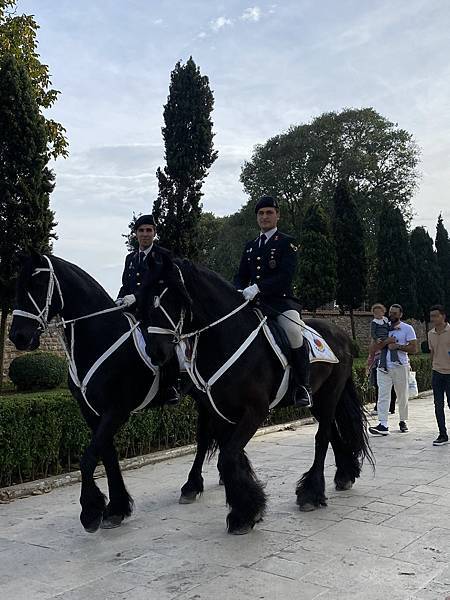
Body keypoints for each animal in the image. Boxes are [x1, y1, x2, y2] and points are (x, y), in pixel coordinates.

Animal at [8, 252, 163, 528]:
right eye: (16, 286)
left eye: (38, 284)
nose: (19, 336)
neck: (100, 334)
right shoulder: (92, 412)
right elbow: (107, 455)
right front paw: (116, 509)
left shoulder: (117, 410)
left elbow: (89, 457)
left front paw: (91, 510)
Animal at [140, 254, 372, 536]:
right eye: (145, 299)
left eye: (173, 297)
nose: (156, 352)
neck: (225, 337)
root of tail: (341, 335)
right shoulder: (219, 411)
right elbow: (229, 455)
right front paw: (248, 506)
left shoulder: (255, 410)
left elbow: (228, 457)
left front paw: (243, 513)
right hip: (316, 399)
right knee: (332, 434)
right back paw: (344, 475)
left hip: (330, 395)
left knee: (323, 437)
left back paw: (311, 493)